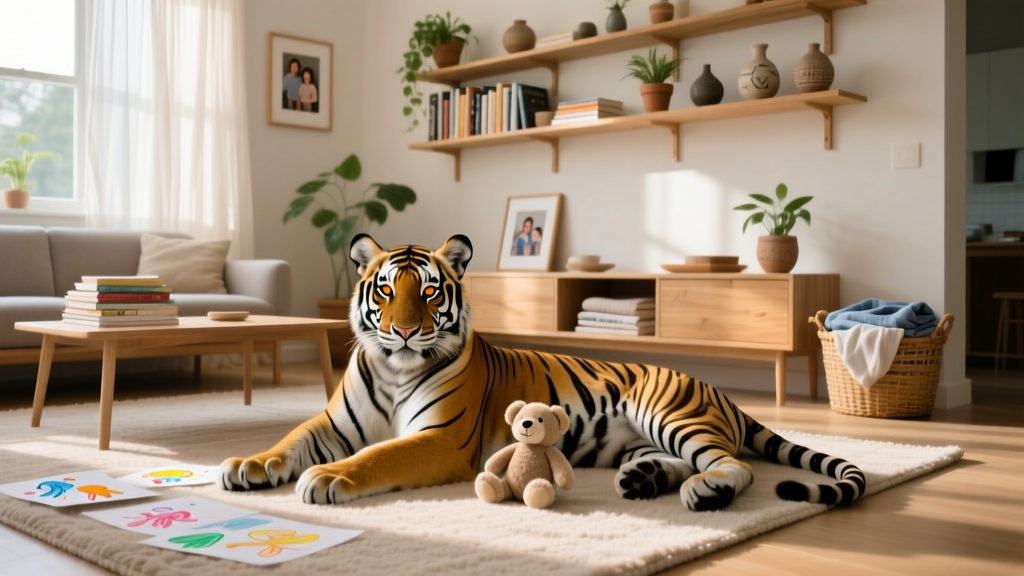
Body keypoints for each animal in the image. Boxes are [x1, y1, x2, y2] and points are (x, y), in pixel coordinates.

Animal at [219, 234, 865, 511]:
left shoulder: (440, 440)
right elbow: (289, 440)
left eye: (428, 292)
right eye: (384, 289)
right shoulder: (332, 425)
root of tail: (717, 391)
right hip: (635, 440)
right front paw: (248, 465)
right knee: (683, 461)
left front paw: (328, 478)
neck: (393, 368)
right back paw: (645, 481)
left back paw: (704, 492)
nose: (402, 332)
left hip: (669, 412)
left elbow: (377, 456)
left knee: (735, 467)